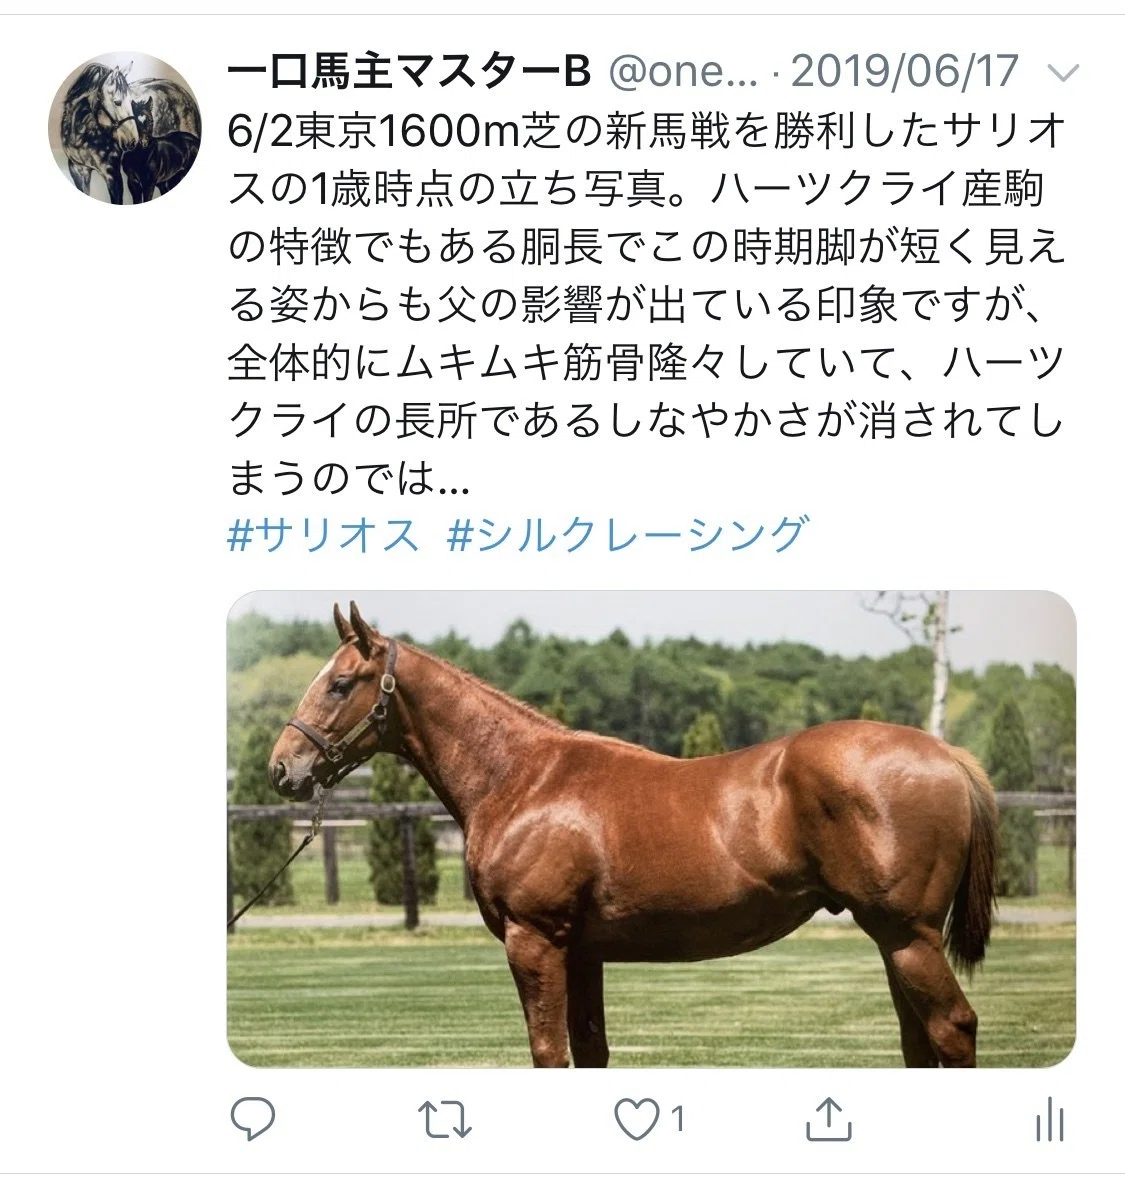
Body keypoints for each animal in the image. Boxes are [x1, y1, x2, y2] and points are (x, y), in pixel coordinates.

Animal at [268, 602, 1000, 1069]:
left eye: (340, 683)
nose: (283, 768)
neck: (523, 777)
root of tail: (945, 753)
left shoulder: (534, 941)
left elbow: (548, 1052)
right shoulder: (581, 951)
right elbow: (589, 1050)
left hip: (906, 936)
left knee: (952, 1029)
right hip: (893, 939)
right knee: (918, 1041)